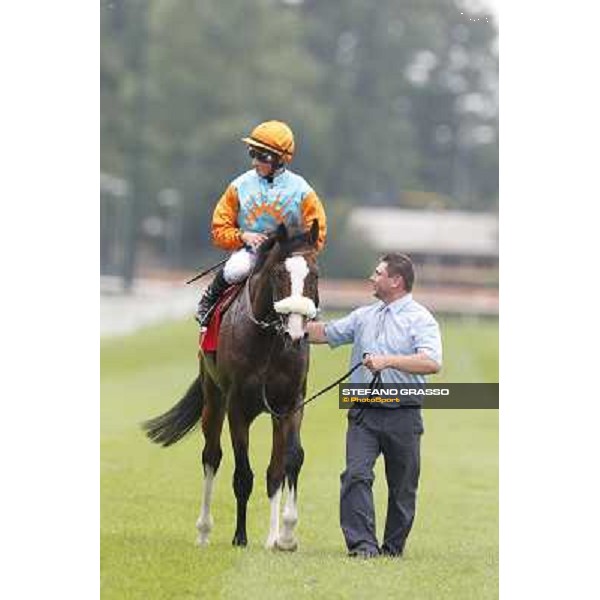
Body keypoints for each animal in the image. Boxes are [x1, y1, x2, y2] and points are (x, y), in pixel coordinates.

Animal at [143, 221, 322, 552]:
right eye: (280, 274)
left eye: (314, 275)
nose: (295, 334)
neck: (270, 340)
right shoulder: (238, 406)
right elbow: (242, 474)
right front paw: (240, 537)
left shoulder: (291, 404)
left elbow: (289, 461)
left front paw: (285, 535)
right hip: (213, 399)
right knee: (211, 457)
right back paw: (203, 530)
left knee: (274, 470)